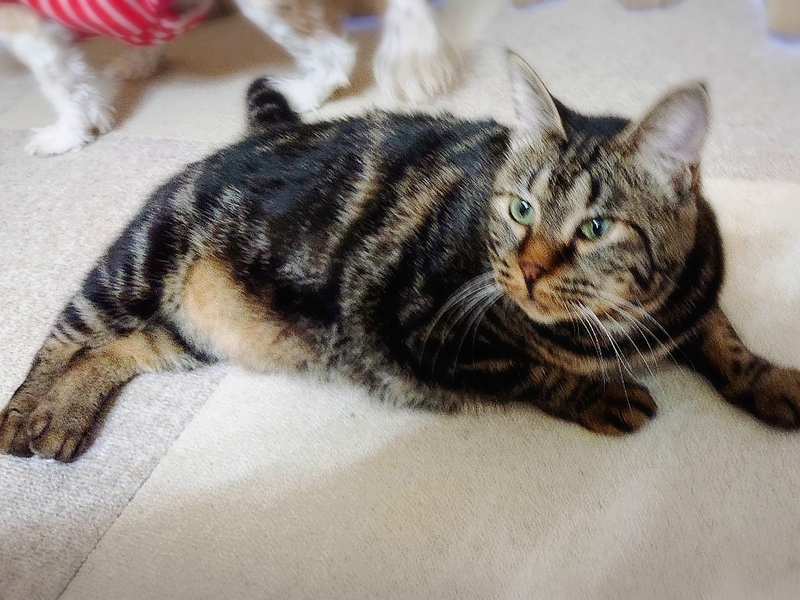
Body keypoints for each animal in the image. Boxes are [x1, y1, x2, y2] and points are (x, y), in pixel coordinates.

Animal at [0, 0, 458, 156]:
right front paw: (140, 59)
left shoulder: (27, 25)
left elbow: (61, 86)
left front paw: (68, 134)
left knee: (334, 54)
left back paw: (301, 91)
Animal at [1, 52, 799, 462]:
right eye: (520, 209)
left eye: (596, 227)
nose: (528, 270)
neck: (620, 323)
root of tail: (257, 135)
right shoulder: (433, 332)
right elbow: (535, 370)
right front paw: (599, 393)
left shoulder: (697, 298)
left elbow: (724, 339)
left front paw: (770, 380)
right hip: (140, 259)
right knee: (67, 335)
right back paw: (24, 416)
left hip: (192, 332)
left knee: (120, 349)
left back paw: (62, 419)